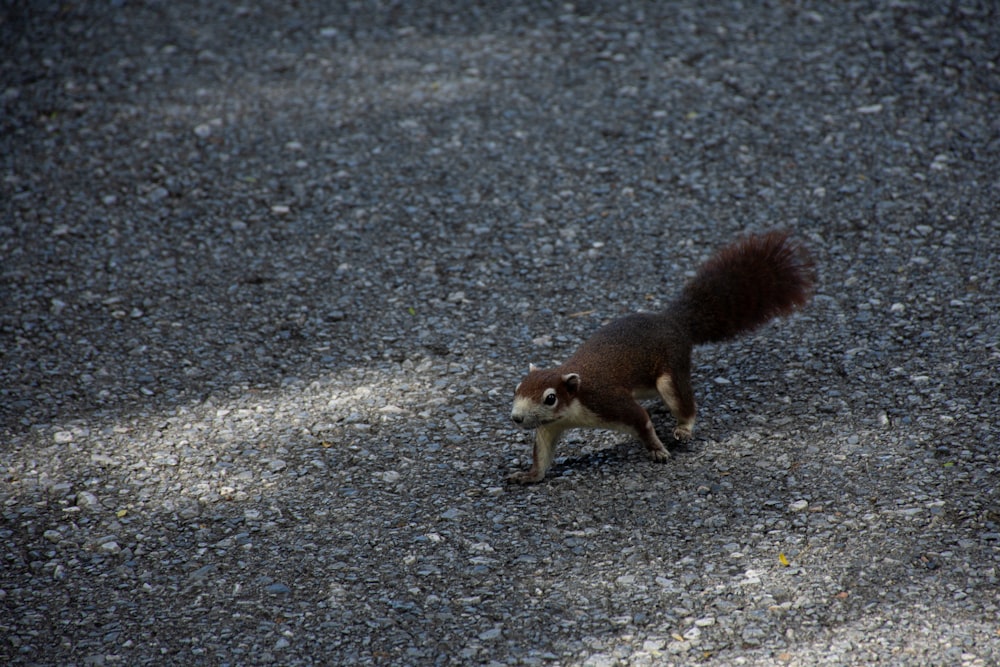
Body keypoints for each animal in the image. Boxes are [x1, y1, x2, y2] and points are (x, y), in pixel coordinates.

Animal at [512, 232, 816, 482]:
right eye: (516, 389)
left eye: (550, 398)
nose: (516, 417)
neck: (574, 408)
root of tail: (676, 322)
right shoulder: (550, 427)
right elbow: (542, 454)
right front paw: (528, 476)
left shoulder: (608, 401)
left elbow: (642, 421)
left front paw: (658, 450)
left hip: (671, 371)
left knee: (684, 403)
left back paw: (683, 428)